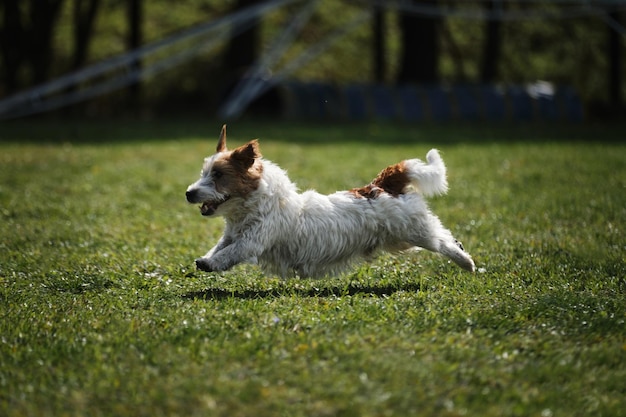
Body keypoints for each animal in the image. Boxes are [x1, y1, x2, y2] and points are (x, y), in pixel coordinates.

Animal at [185, 125, 472, 278]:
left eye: (218, 175)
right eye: (203, 173)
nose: (189, 193)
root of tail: (380, 185)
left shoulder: (251, 241)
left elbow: (230, 254)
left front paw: (210, 264)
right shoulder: (231, 236)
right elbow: (218, 247)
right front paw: (206, 258)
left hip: (413, 230)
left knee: (442, 240)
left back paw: (465, 261)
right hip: (403, 237)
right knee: (443, 235)